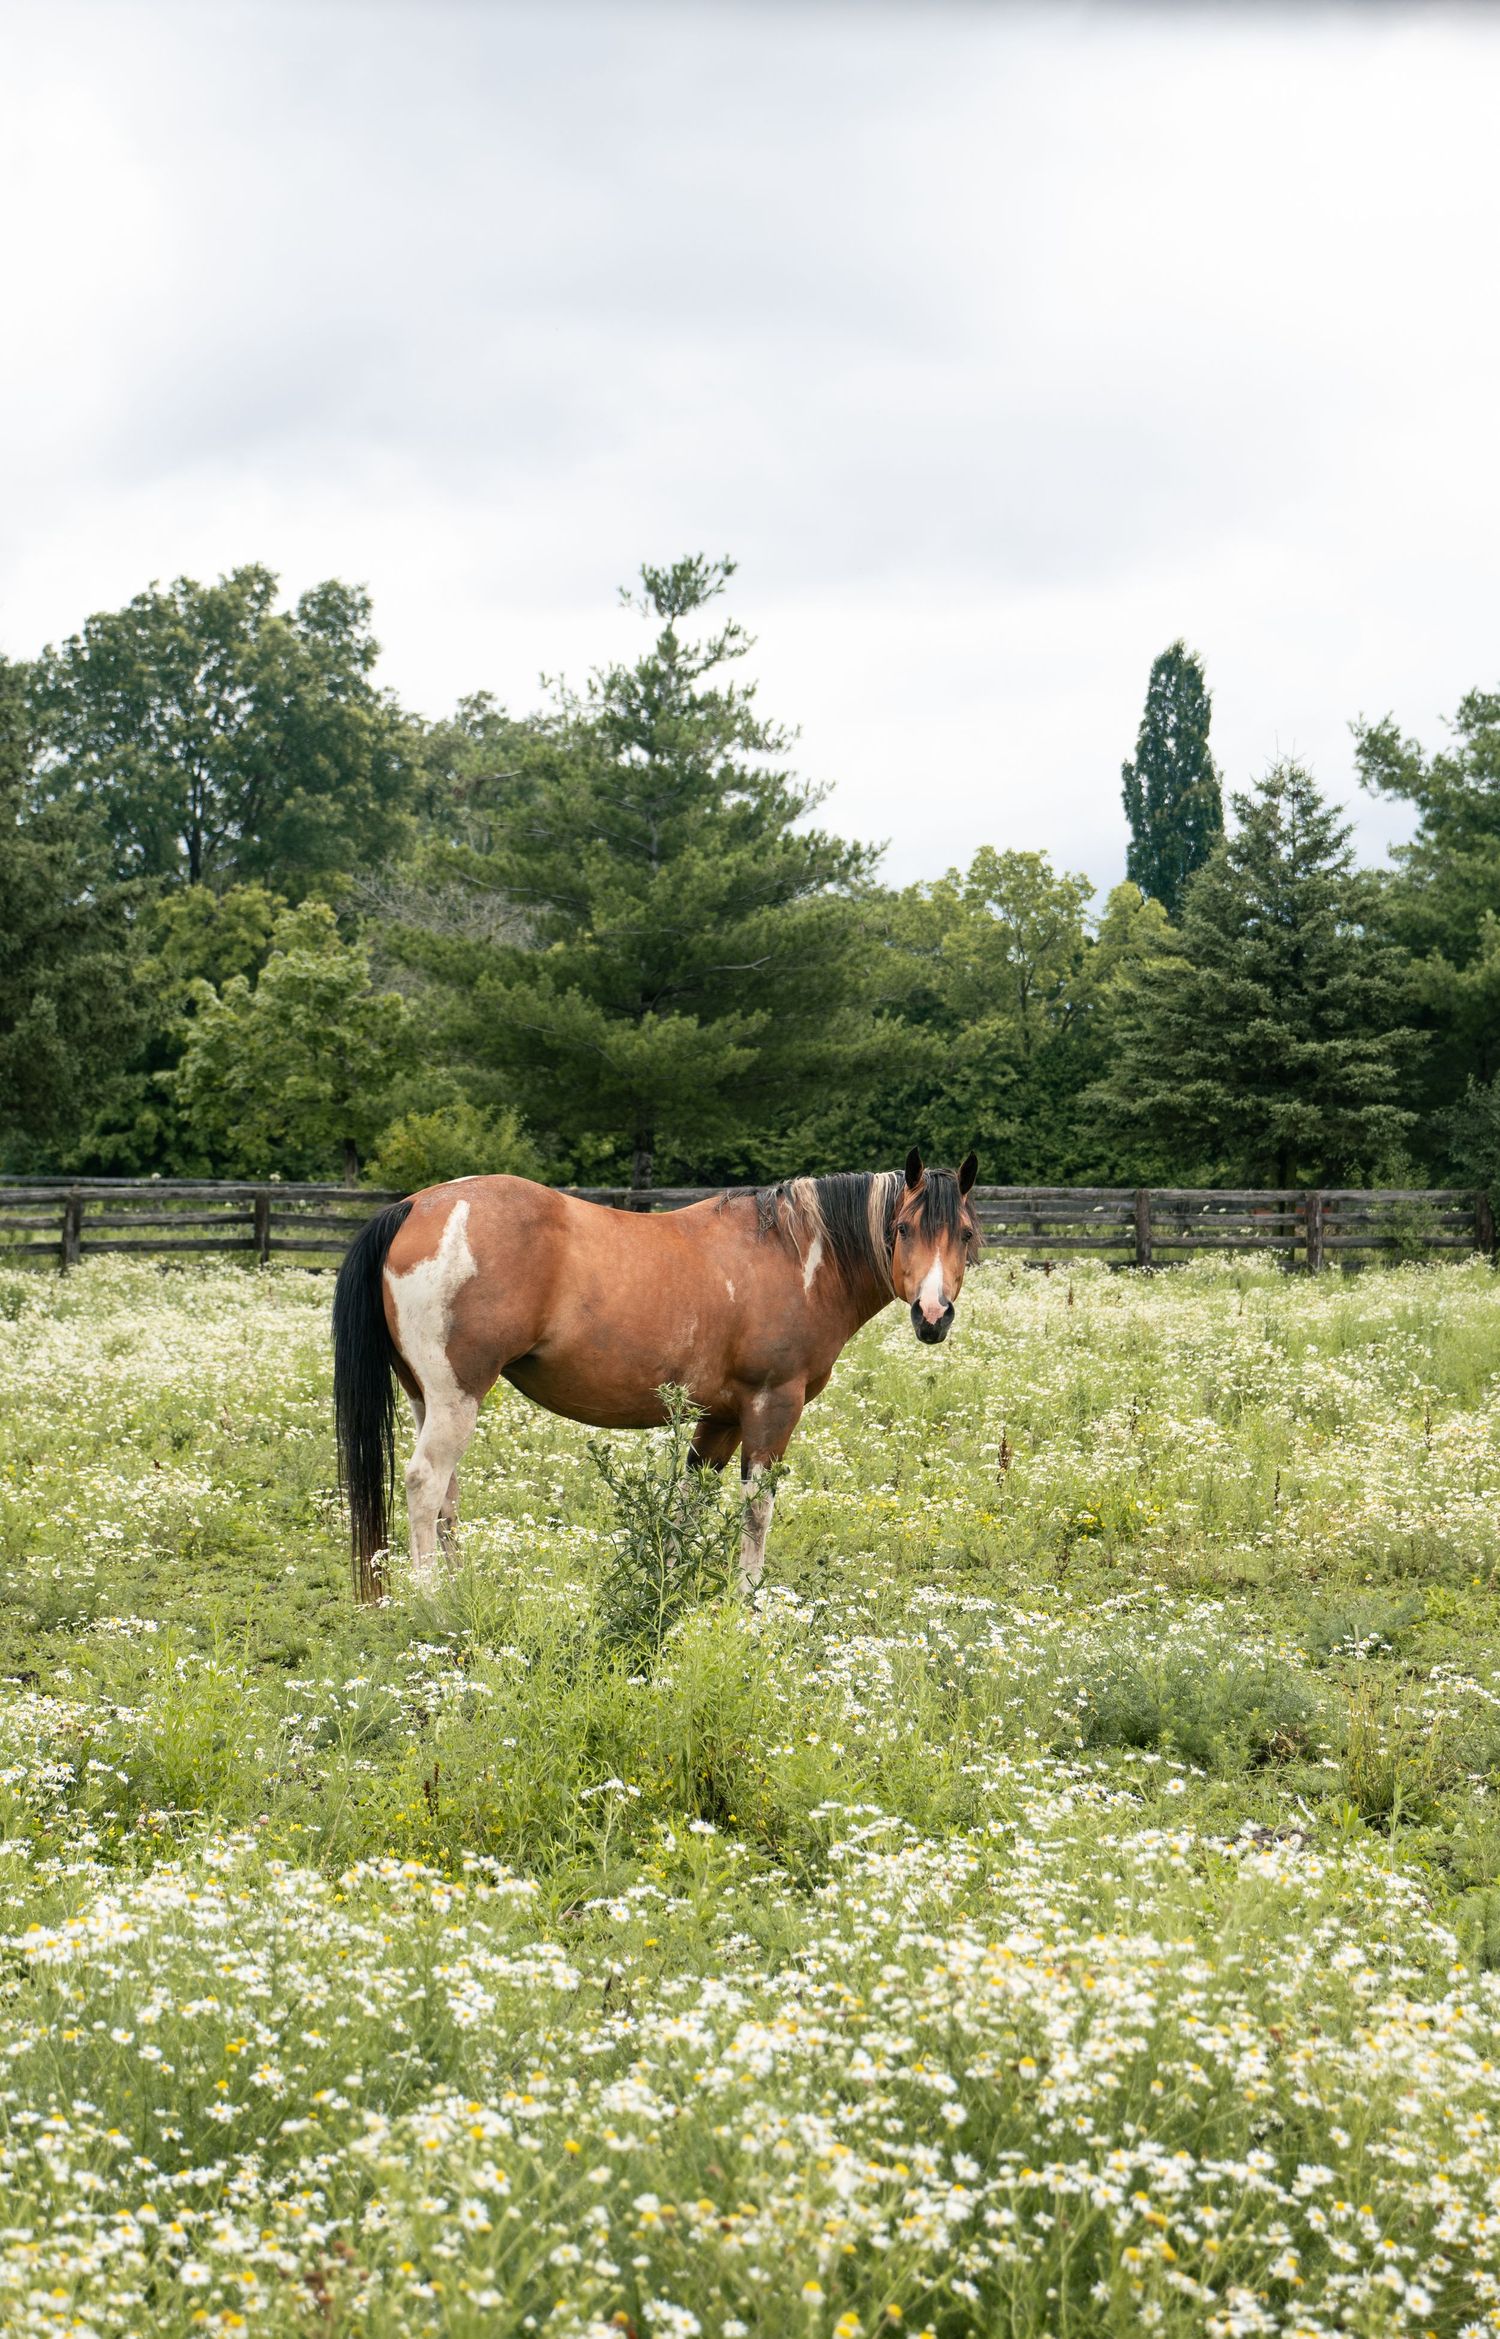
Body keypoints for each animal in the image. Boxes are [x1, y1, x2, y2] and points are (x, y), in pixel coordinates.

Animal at [332, 1147, 980, 1600]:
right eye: (903, 1229)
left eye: (966, 1234)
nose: (933, 1315)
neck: (798, 1255)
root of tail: (414, 1206)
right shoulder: (773, 1406)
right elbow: (756, 1509)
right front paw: (748, 1602)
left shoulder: (719, 1419)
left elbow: (687, 1506)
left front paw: (670, 1589)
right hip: (457, 1397)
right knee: (424, 1485)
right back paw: (431, 1602)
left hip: (428, 1398)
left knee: (447, 1495)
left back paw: (459, 1590)